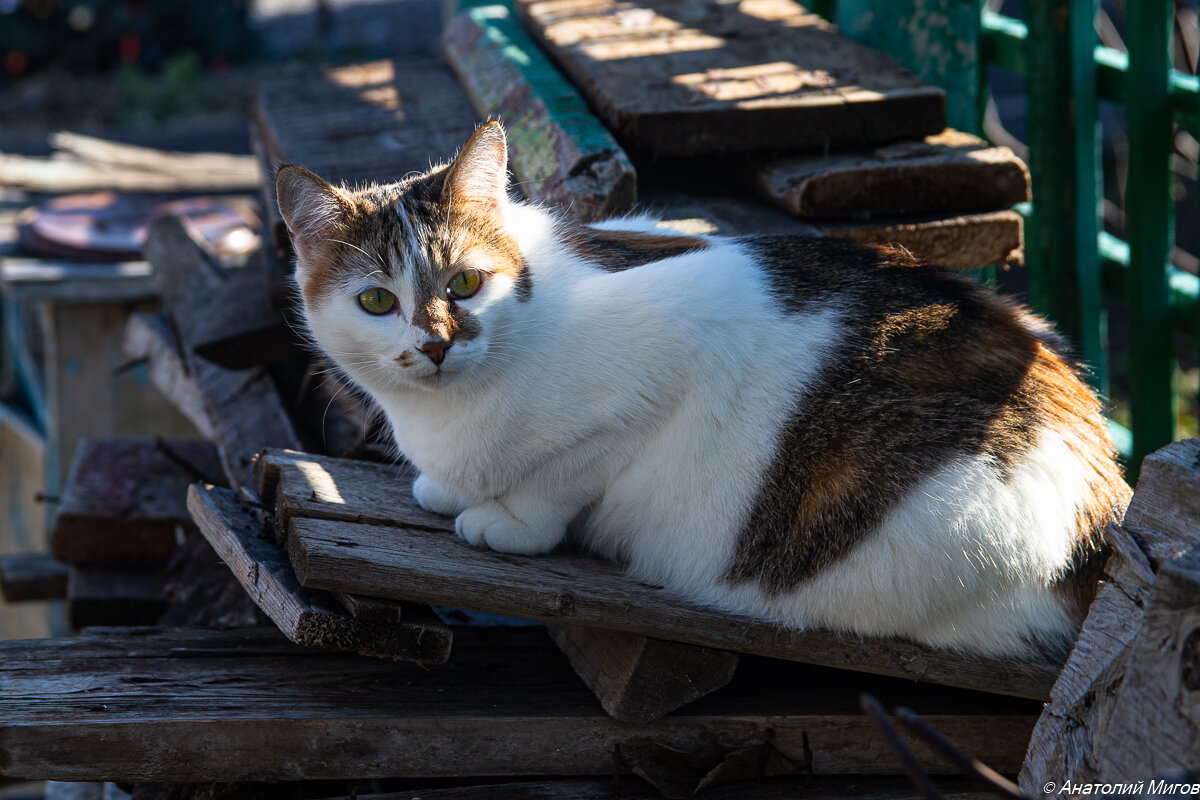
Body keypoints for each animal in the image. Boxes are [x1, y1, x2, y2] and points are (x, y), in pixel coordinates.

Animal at [276, 118, 1128, 657]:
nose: (436, 343)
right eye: (377, 301)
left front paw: (510, 520)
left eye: (464, 282)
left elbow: (567, 472)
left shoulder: (676, 350)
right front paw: (450, 489)